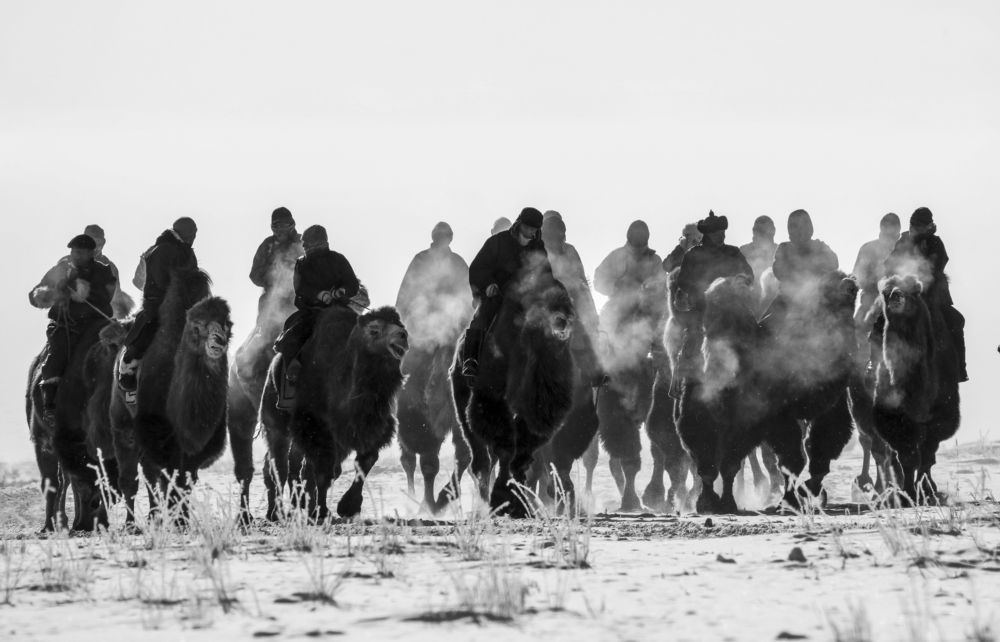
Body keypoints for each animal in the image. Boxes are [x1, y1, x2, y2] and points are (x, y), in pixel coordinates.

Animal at [261, 305, 409, 520]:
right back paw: (276, 513)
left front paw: (348, 507)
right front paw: (322, 512)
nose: (403, 336)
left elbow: (365, 461)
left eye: (400, 325)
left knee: (293, 465)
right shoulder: (317, 427)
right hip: (276, 422)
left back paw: (295, 507)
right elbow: (324, 471)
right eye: (374, 330)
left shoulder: (370, 427)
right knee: (278, 465)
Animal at [446, 270, 577, 518]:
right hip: (462, 401)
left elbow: (523, 449)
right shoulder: (491, 398)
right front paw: (505, 500)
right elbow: (506, 447)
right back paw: (482, 506)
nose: (562, 322)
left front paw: (519, 502)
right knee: (480, 459)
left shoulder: (538, 410)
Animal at [871, 276, 961, 503]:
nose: (896, 295)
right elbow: (908, 457)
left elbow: (927, 456)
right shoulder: (893, 418)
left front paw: (928, 491)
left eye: (913, 291)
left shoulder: (939, 418)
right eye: (885, 292)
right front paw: (907, 494)